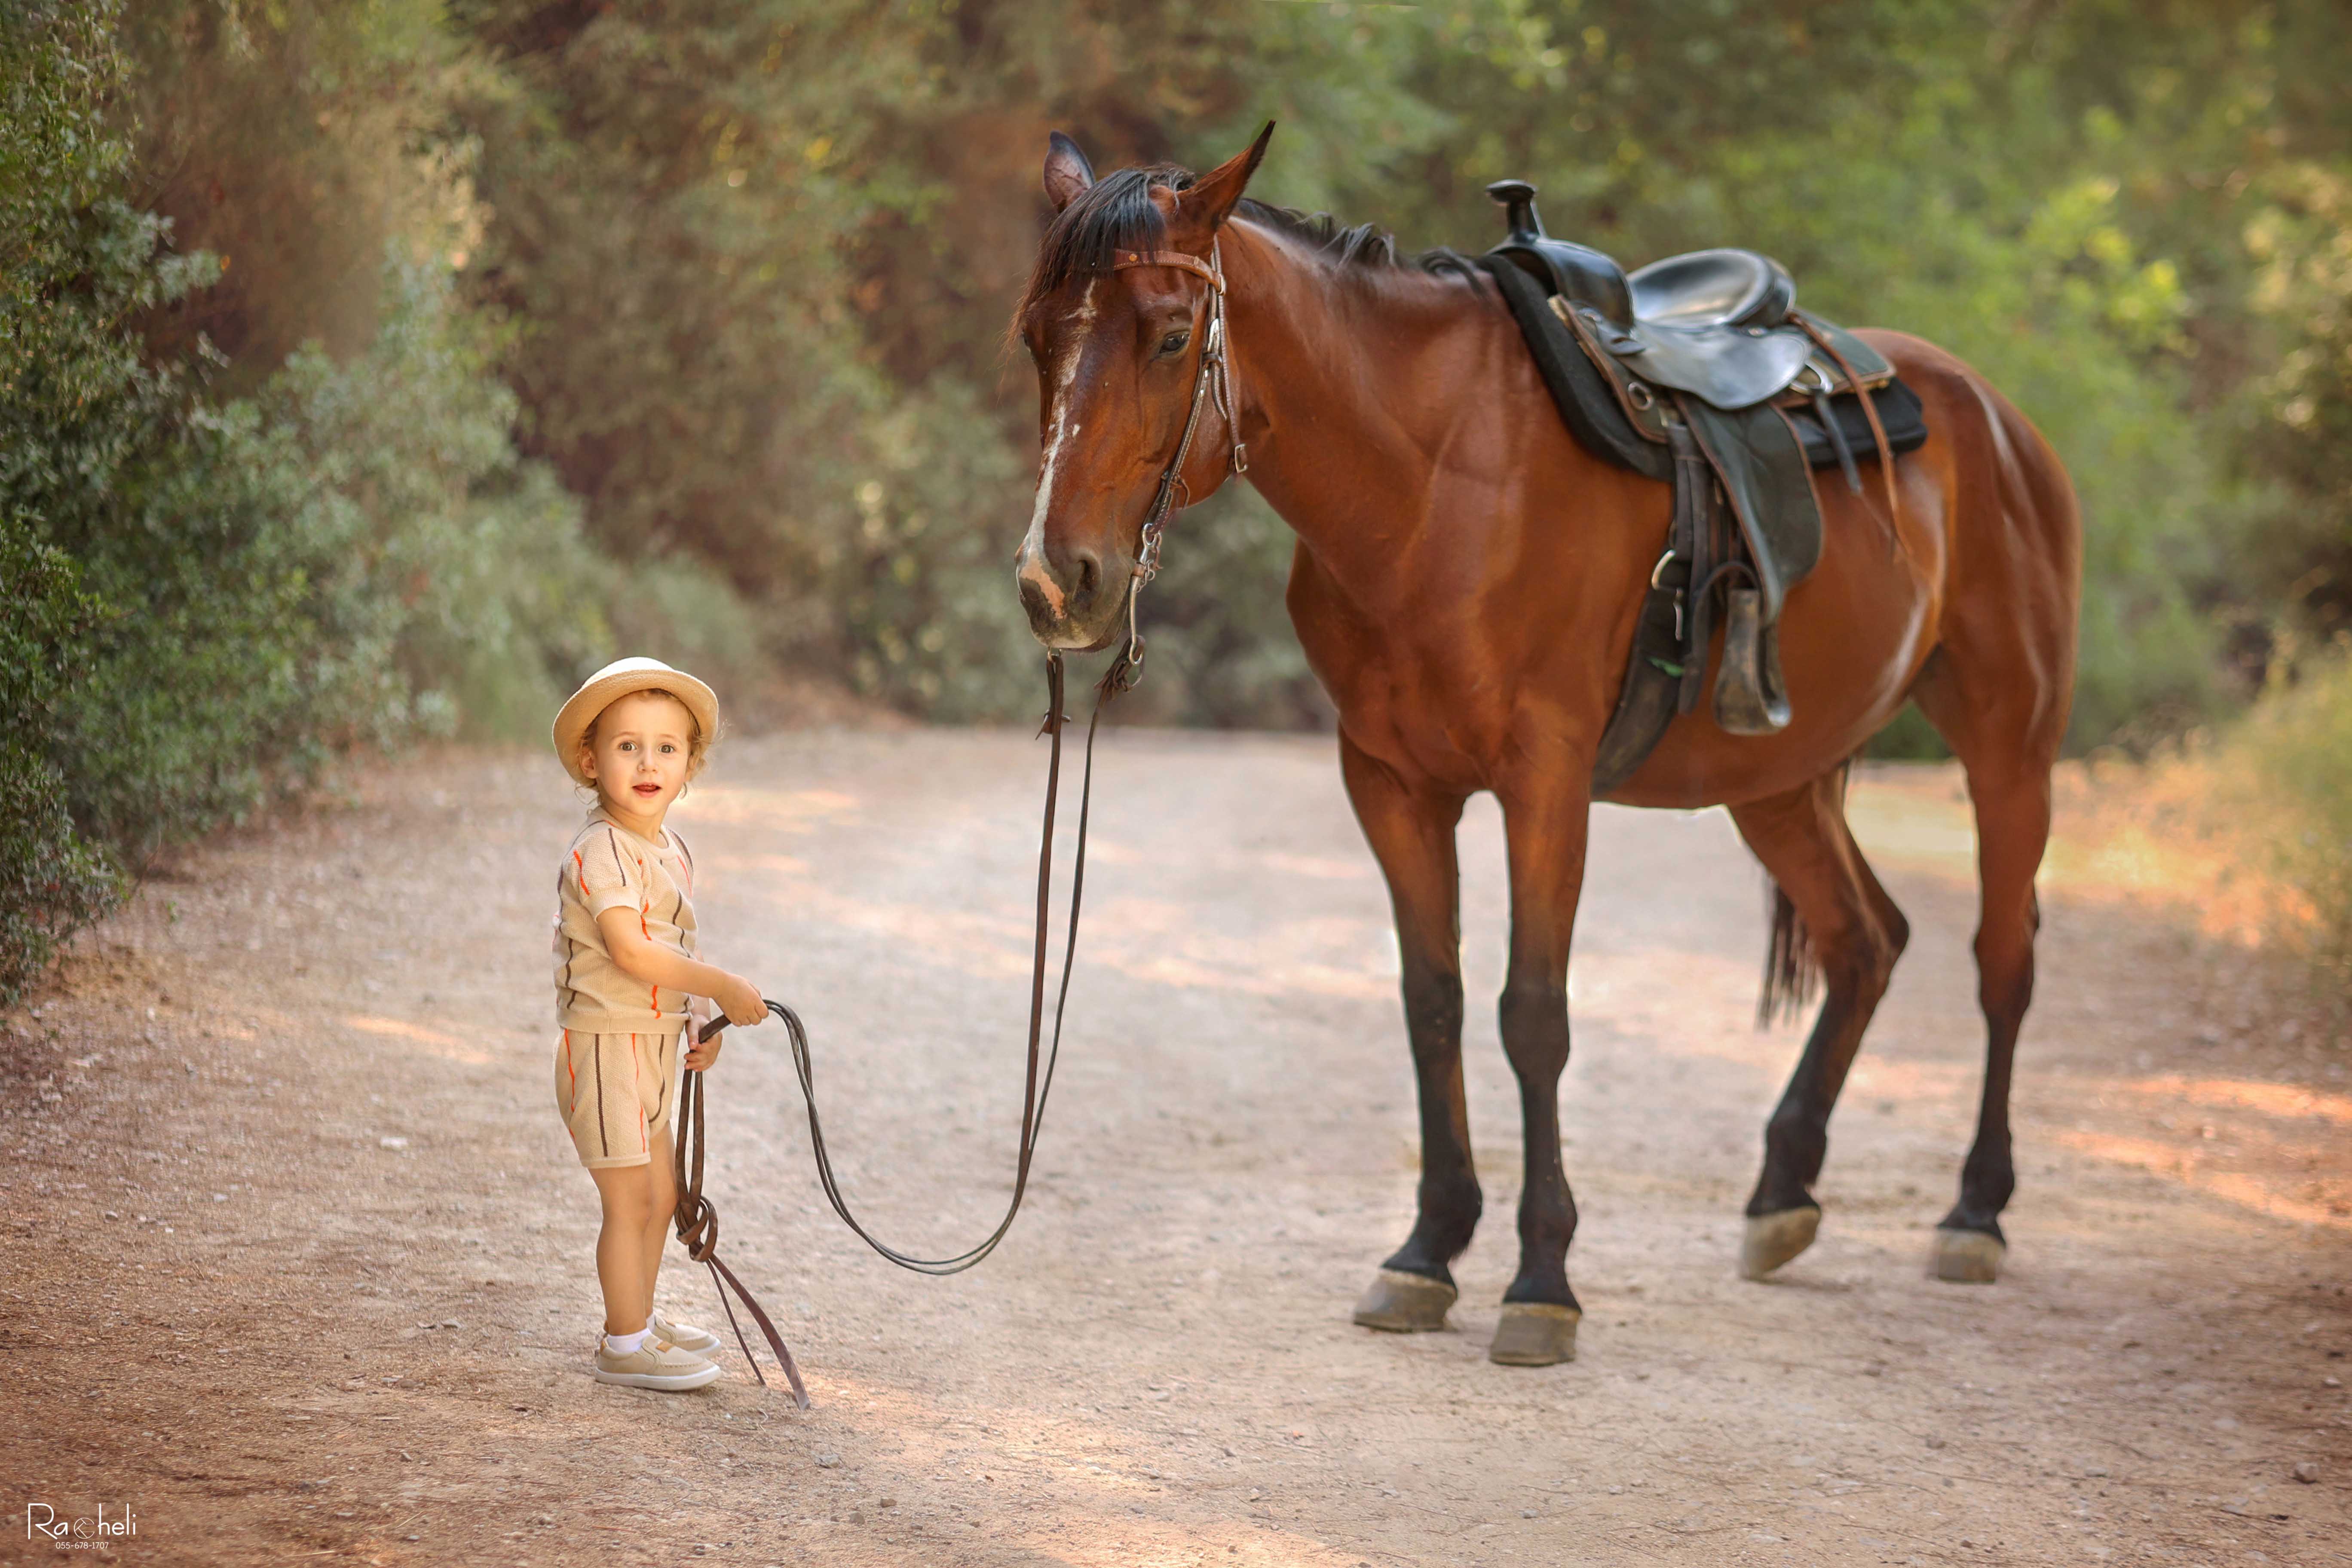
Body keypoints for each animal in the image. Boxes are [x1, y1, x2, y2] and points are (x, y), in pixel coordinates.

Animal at [1011, 129, 2079, 1363]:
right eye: (1036, 336)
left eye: (1173, 337)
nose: (1057, 582)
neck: (1434, 488)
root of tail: (1998, 419)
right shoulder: (1392, 785)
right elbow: (1433, 1003)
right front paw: (1426, 1254)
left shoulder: (1546, 785)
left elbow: (1534, 1015)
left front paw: (1542, 1281)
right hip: (1778, 782)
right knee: (1866, 939)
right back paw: (1781, 1196)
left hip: (2010, 743)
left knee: (2002, 961)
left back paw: (1975, 1214)